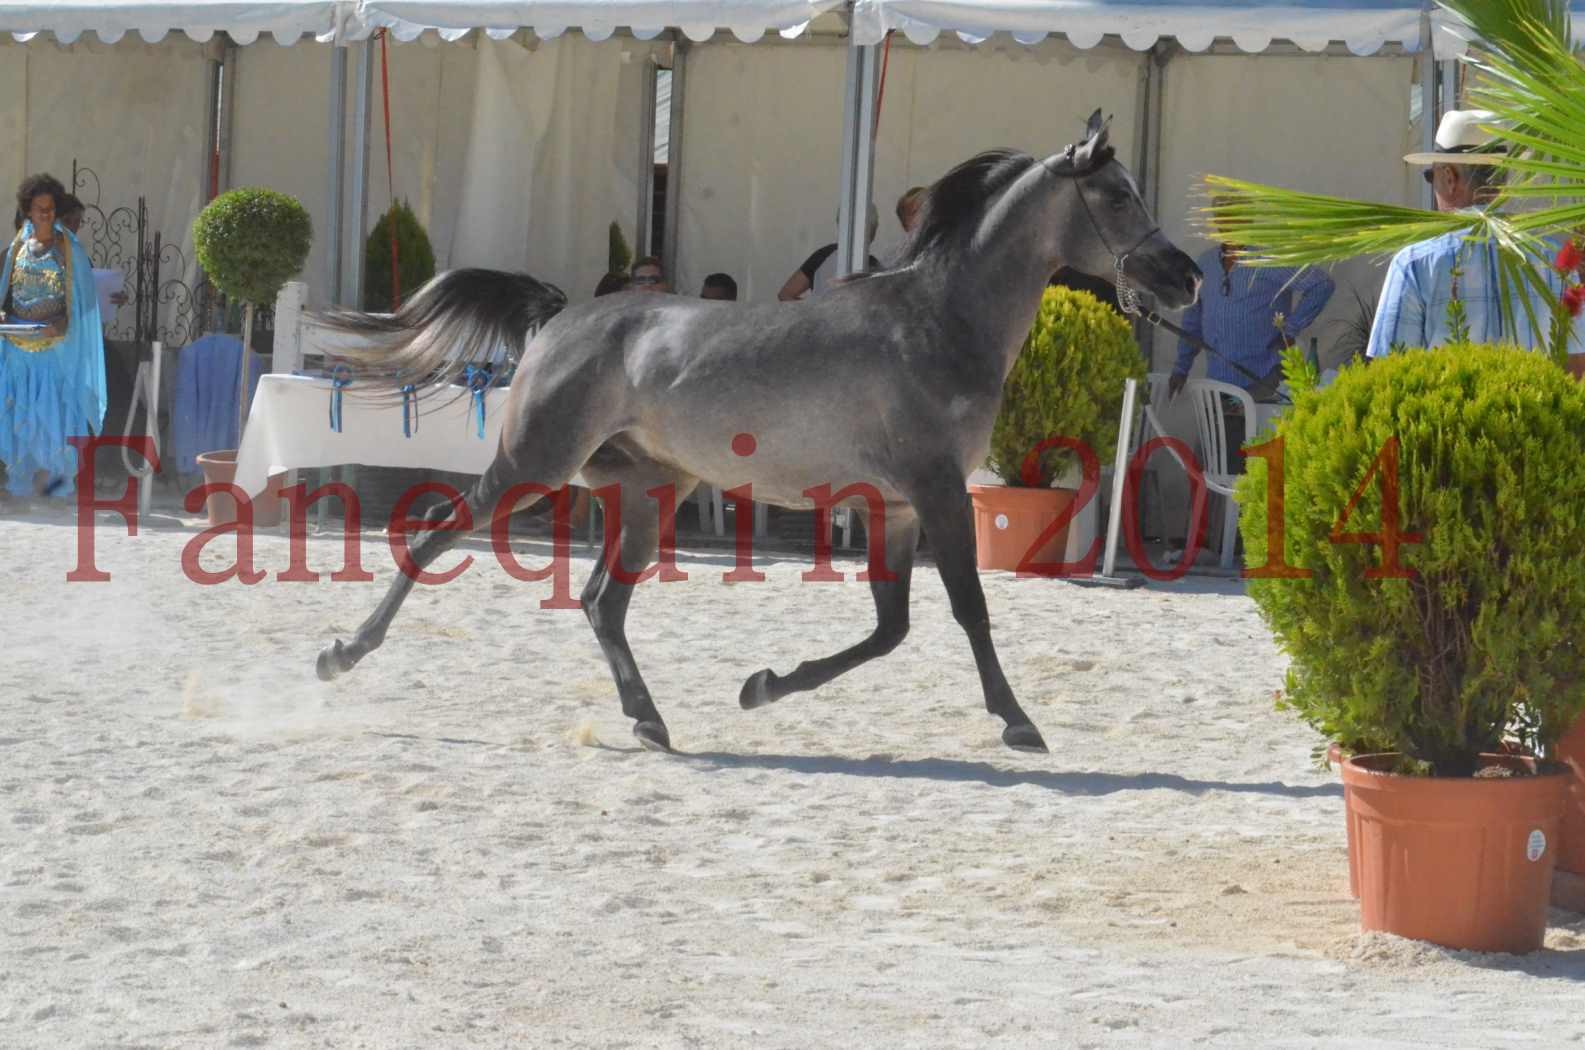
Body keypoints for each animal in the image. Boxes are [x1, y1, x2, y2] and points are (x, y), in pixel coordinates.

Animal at [312, 111, 1198, 758]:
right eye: (1117, 196)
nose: (1184, 278)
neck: (937, 321)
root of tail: (561, 316)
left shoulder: (893, 508)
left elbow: (891, 629)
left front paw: (762, 685)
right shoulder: (938, 492)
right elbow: (967, 609)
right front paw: (1018, 723)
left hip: (649, 493)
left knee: (601, 602)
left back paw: (650, 721)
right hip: (534, 464)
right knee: (435, 535)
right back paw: (341, 654)